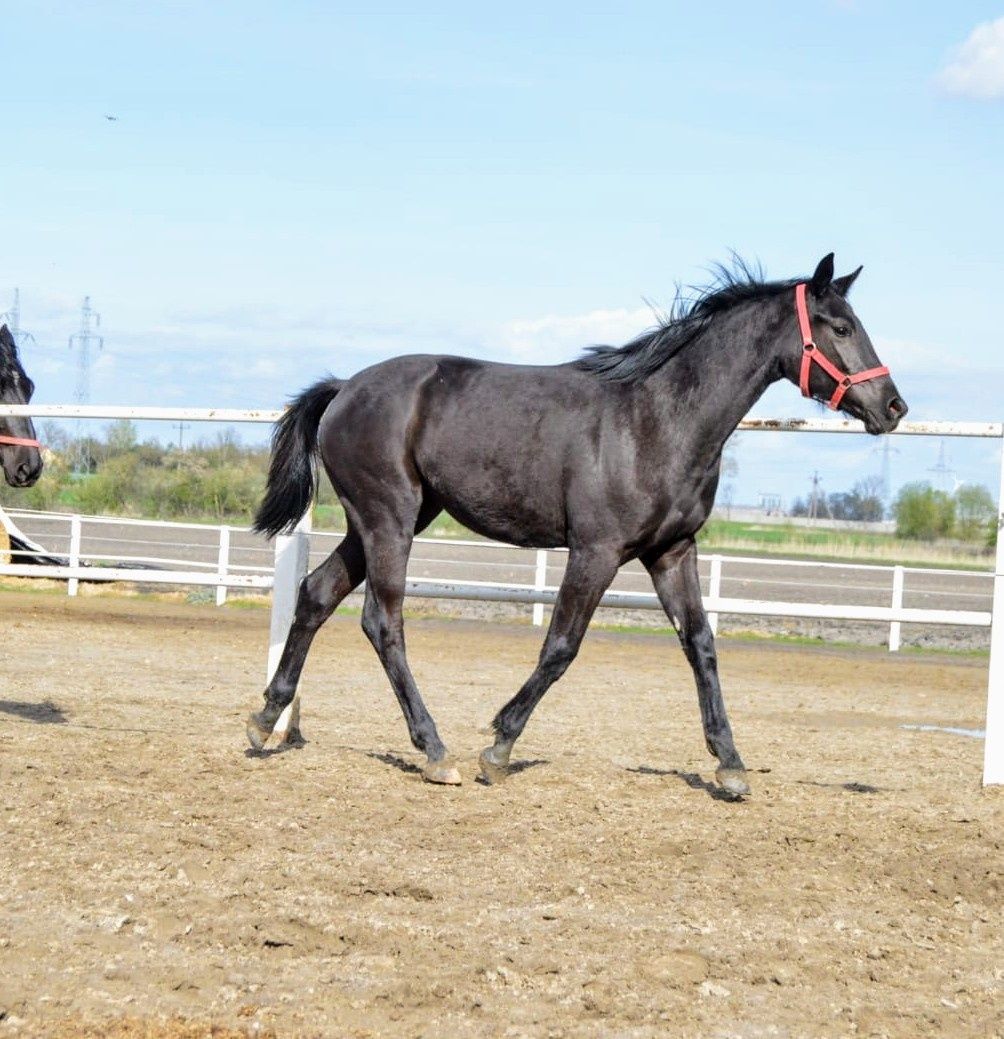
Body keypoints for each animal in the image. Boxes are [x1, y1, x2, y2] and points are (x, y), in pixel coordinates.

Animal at [247, 255, 906, 789]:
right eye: (841, 327)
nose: (893, 407)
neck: (657, 420)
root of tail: (344, 389)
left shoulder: (672, 551)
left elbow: (701, 645)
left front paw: (731, 764)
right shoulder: (596, 550)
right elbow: (561, 646)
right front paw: (499, 746)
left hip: (377, 522)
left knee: (316, 595)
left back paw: (265, 719)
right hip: (390, 520)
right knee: (383, 621)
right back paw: (435, 751)